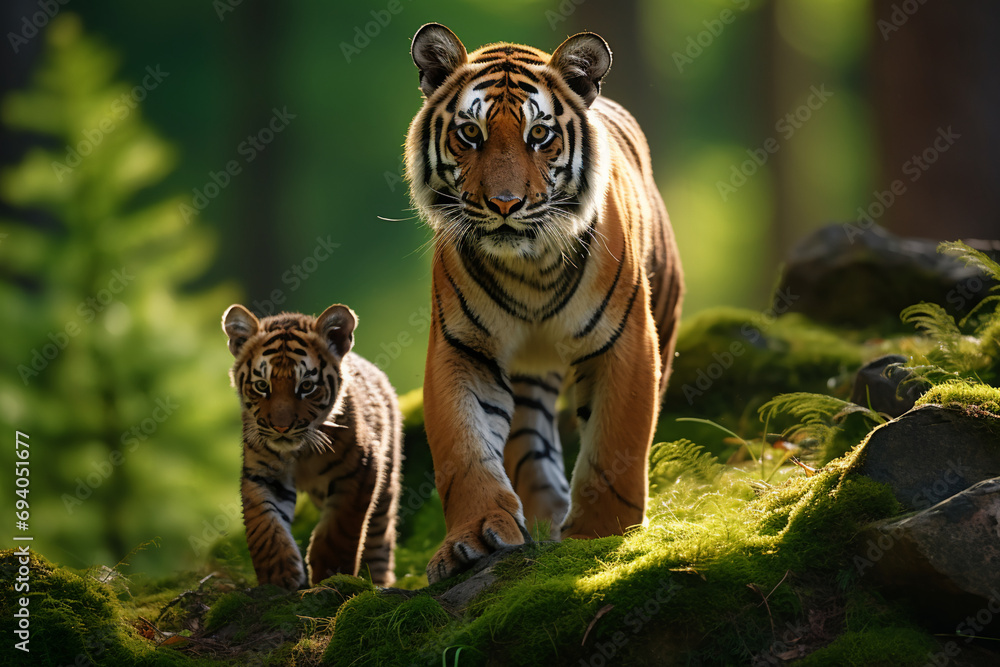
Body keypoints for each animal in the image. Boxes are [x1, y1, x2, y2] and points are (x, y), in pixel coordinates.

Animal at [222, 303, 402, 589]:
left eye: (306, 386)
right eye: (262, 385)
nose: (281, 428)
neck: (299, 453)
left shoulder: (359, 471)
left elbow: (339, 528)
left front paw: (330, 574)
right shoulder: (261, 474)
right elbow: (264, 525)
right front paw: (280, 576)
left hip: (386, 486)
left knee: (379, 538)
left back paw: (377, 582)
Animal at [404, 24, 684, 583]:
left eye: (539, 135)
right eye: (471, 134)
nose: (505, 204)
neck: (528, 267)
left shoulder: (625, 342)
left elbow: (614, 447)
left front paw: (601, 537)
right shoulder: (462, 346)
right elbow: (464, 449)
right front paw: (475, 538)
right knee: (528, 447)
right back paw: (541, 517)